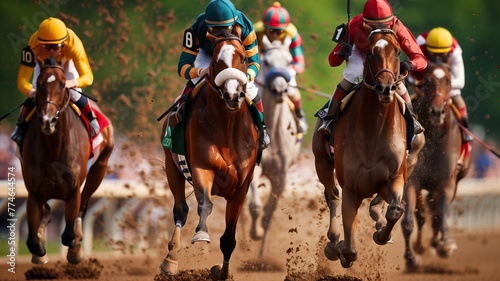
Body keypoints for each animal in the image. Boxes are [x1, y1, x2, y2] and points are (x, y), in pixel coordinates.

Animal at [21, 57, 114, 262]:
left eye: (63, 85)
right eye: (38, 83)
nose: (47, 120)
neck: (53, 148)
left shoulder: (73, 191)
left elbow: (68, 235)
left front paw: (75, 250)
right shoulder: (34, 191)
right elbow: (32, 241)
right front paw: (39, 249)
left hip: (100, 168)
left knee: (83, 206)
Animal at [160, 29, 260, 278]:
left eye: (243, 58)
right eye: (215, 61)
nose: (232, 94)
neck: (227, 127)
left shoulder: (242, 185)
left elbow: (229, 239)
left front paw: (222, 272)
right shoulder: (201, 168)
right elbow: (204, 203)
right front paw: (201, 233)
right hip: (171, 166)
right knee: (180, 210)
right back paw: (170, 259)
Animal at [312, 27, 426, 266]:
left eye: (398, 51)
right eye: (371, 52)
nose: (385, 88)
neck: (374, 128)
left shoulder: (395, 176)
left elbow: (396, 209)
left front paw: (382, 233)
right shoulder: (351, 187)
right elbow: (350, 247)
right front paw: (340, 249)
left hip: (413, 156)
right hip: (321, 161)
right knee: (332, 194)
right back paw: (333, 241)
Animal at [402, 61, 468, 270]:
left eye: (448, 81)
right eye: (427, 81)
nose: (437, 112)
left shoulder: (447, 182)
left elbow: (441, 213)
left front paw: (446, 243)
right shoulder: (412, 181)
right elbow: (409, 222)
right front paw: (411, 258)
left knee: (436, 211)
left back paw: (437, 242)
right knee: (424, 214)